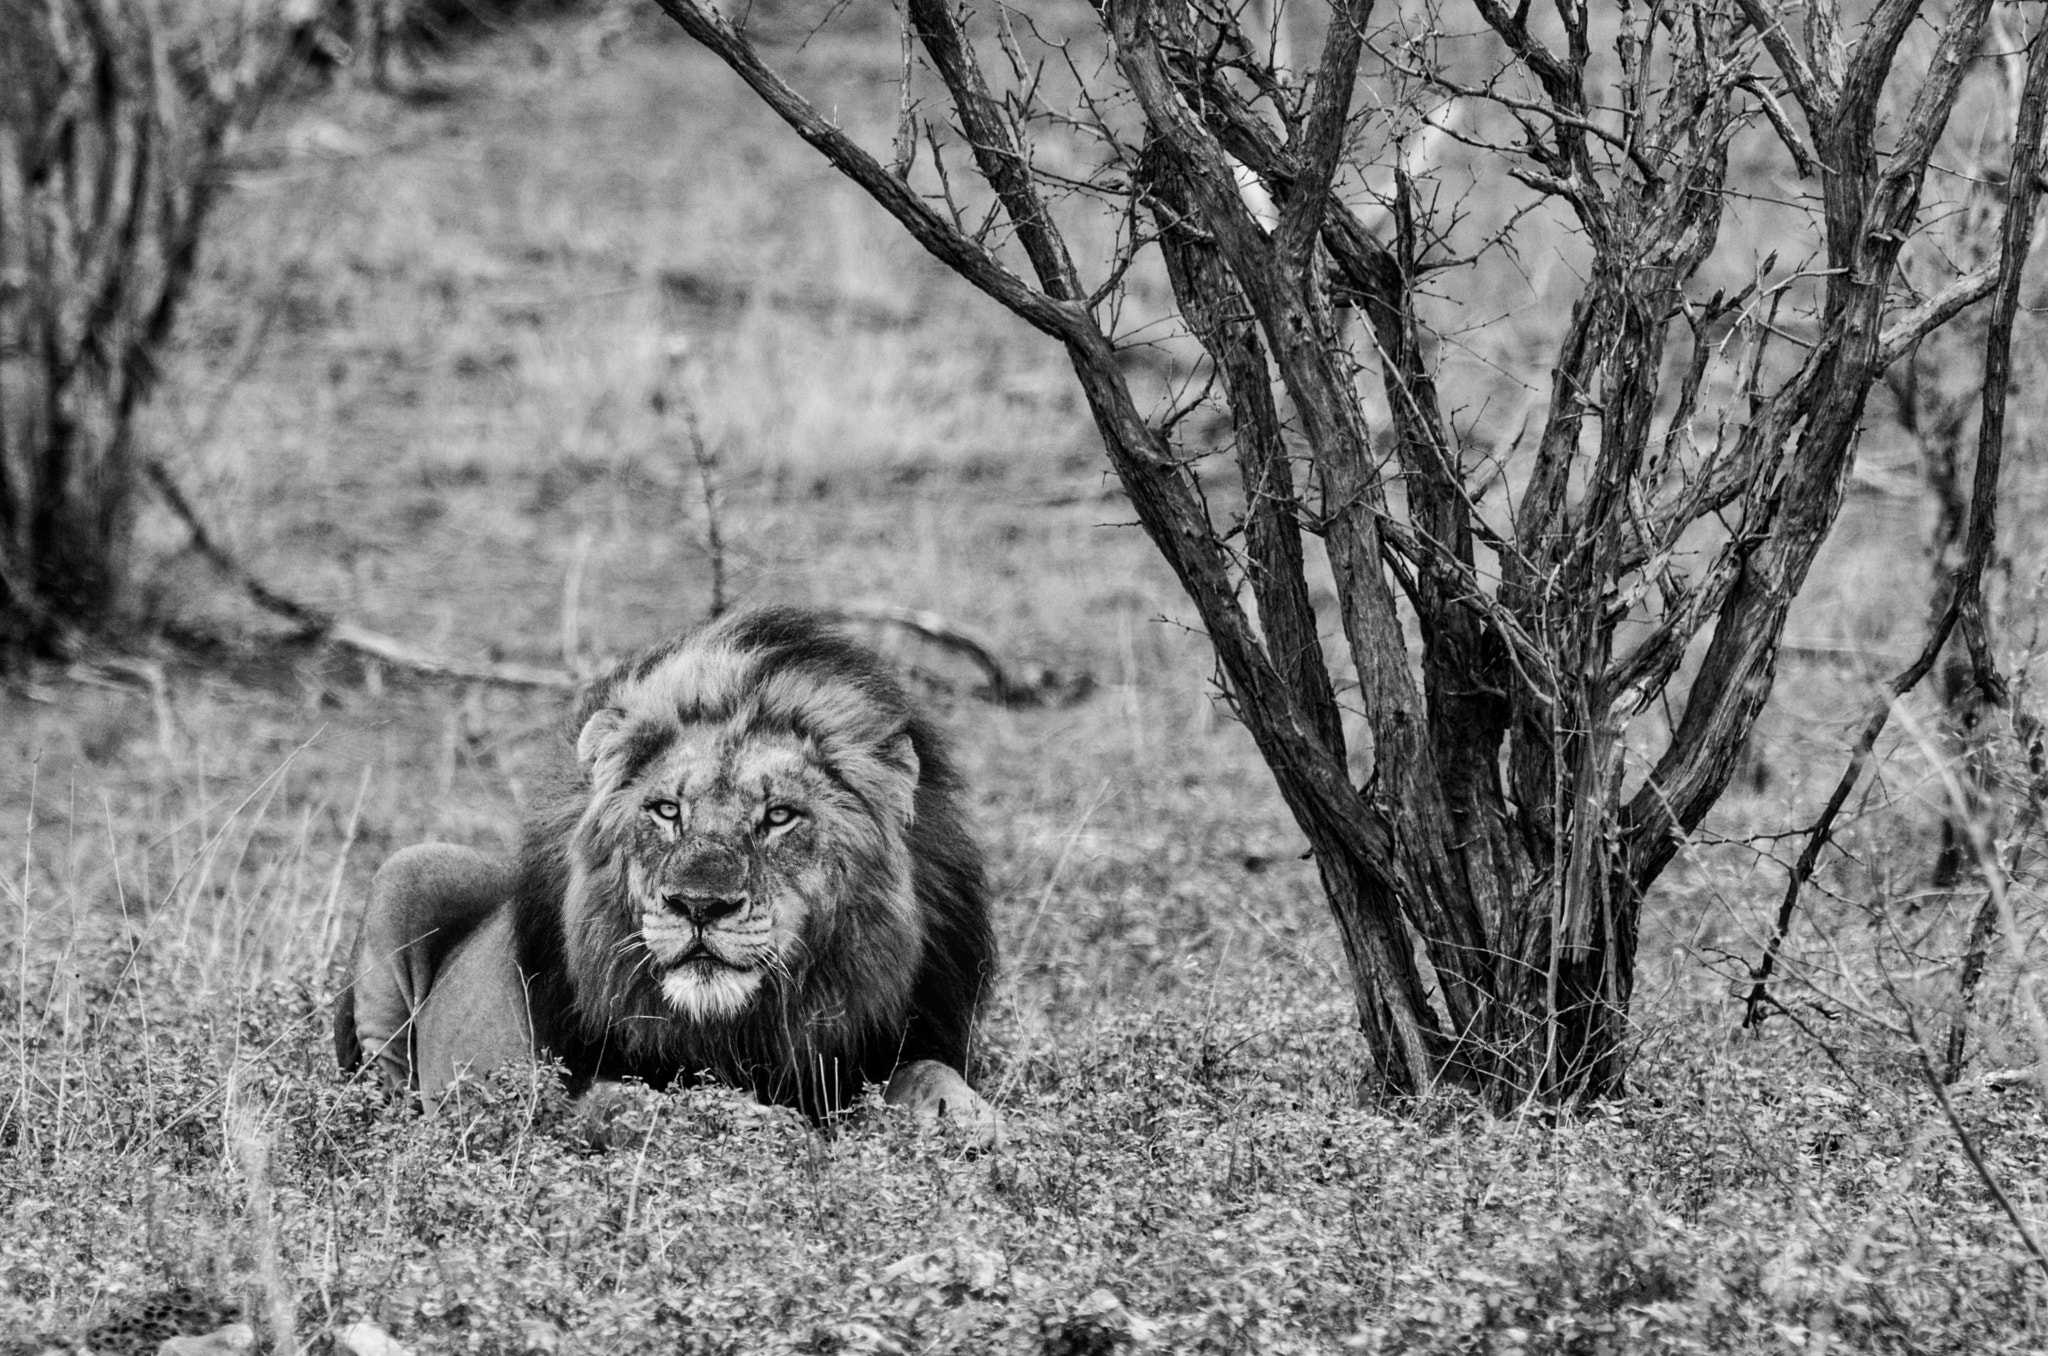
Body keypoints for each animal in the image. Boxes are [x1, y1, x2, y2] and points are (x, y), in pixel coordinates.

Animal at [333, 605, 1001, 1146]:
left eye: (779, 816)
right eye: (666, 810)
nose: (699, 906)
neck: (752, 1028)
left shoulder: (901, 1041)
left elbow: (931, 1072)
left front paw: (970, 1120)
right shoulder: (577, 1089)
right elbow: (661, 1104)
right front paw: (765, 1127)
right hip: (405, 873)